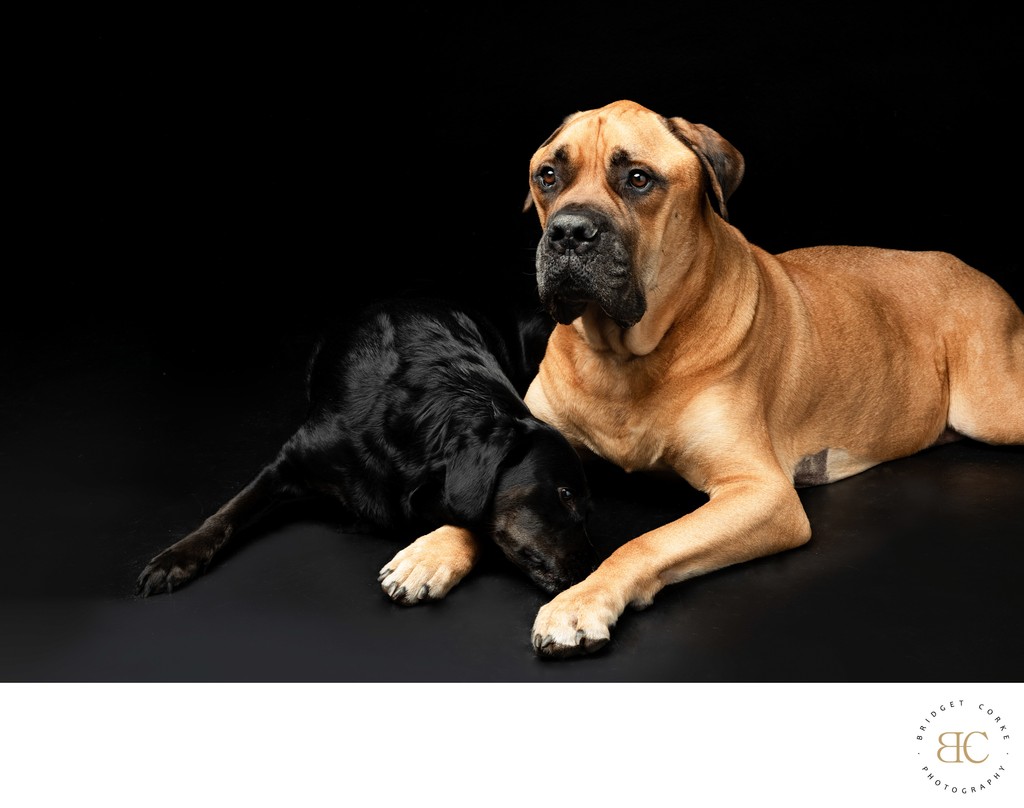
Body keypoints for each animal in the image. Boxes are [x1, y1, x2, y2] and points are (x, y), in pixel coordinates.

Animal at [524, 99, 1019, 655]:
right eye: (548, 175)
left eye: (637, 179)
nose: (568, 231)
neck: (620, 357)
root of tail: (974, 271)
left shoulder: (764, 494)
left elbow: (647, 540)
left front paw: (581, 600)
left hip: (992, 409)